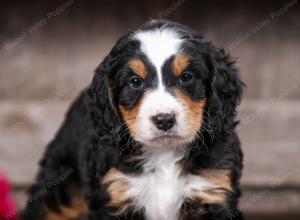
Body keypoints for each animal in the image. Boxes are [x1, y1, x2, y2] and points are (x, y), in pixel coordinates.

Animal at [22, 19, 245, 219]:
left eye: (187, 77)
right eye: (135, 82)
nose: (164, 120)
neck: (164, 154)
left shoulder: (213, 191)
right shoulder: (114, 194)